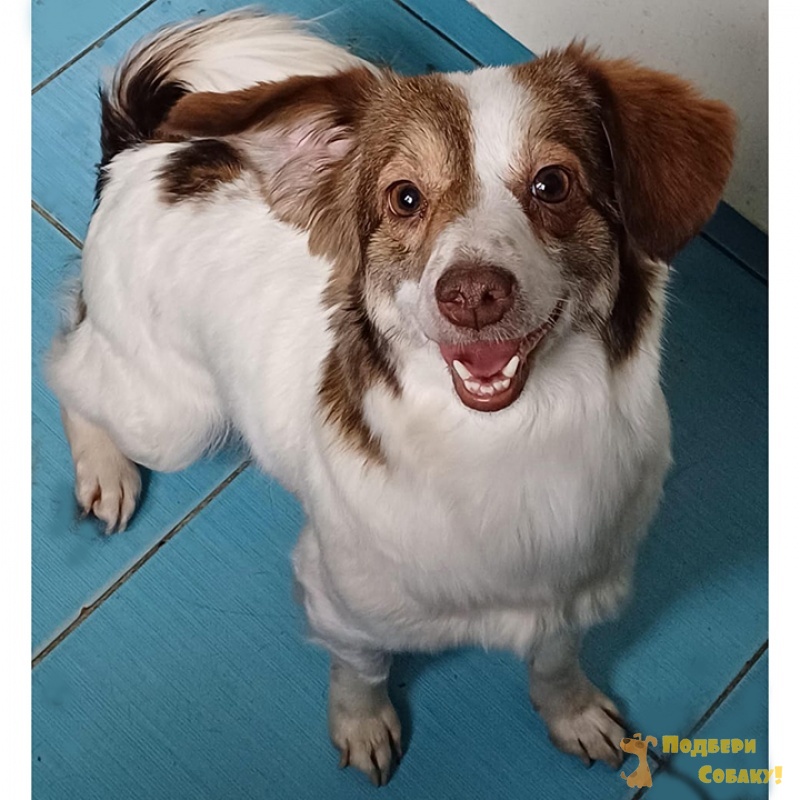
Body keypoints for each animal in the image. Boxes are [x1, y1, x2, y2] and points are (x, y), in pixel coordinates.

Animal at [46, 9, 735, 786]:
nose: (472, 293)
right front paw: (363, 724)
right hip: (173, 418)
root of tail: (145, 151)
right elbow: (362, 668)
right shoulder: (338, 603)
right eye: (405, 198)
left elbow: (556, 658)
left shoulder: (575, 594)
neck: (507, 444)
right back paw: (104, 470)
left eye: (553, 184)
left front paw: (573, 711)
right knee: (68, 361)